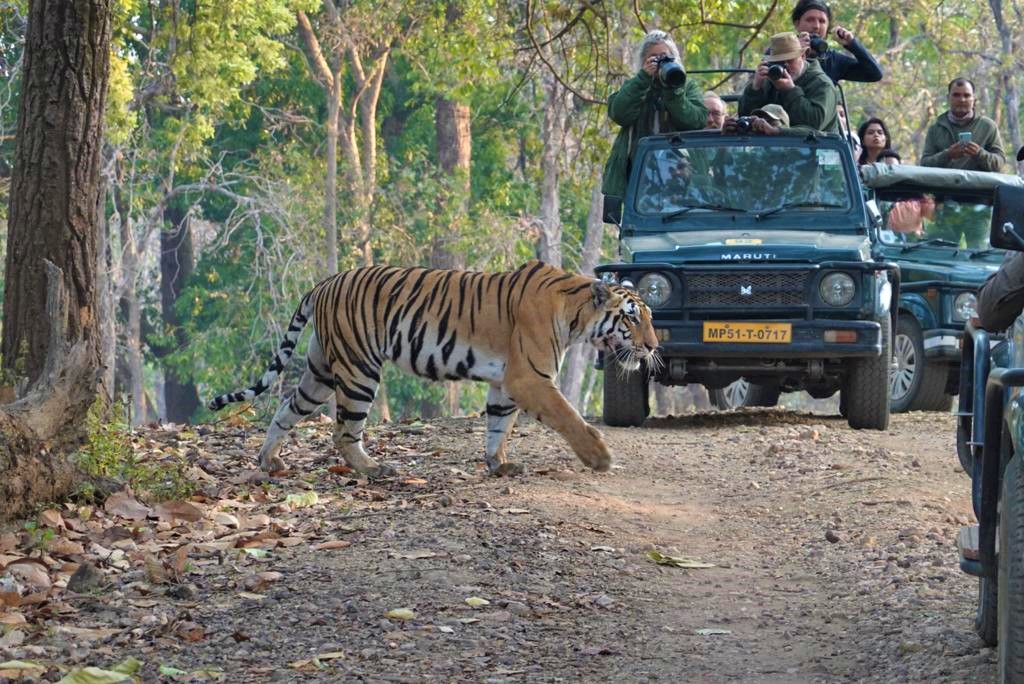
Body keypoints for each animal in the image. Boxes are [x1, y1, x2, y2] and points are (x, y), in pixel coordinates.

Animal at [207, 260, 659, 478]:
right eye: (632, 318)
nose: (655, 346)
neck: (577, 314)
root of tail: (325, 282)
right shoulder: (530, 377)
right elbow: (568, 417)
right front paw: (600, 458)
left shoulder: (505, 382)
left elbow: (498, 426)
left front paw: (499, 465)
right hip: (358, 369)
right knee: (343, 431)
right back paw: (373, 469)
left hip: (319, 371)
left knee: (287, 408)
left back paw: (268, 460)